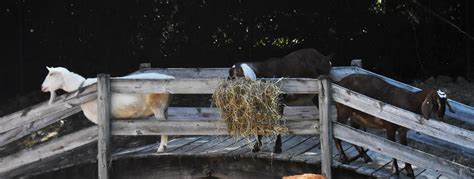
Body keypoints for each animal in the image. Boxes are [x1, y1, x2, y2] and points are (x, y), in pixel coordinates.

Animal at [41, 66, 173, 152]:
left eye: (51, 74)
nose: (42, 87)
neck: (83, 89)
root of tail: (168, 78)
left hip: (157, 106)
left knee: (164, 127)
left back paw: (161, 148)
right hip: (164, 107)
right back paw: (165, 146)